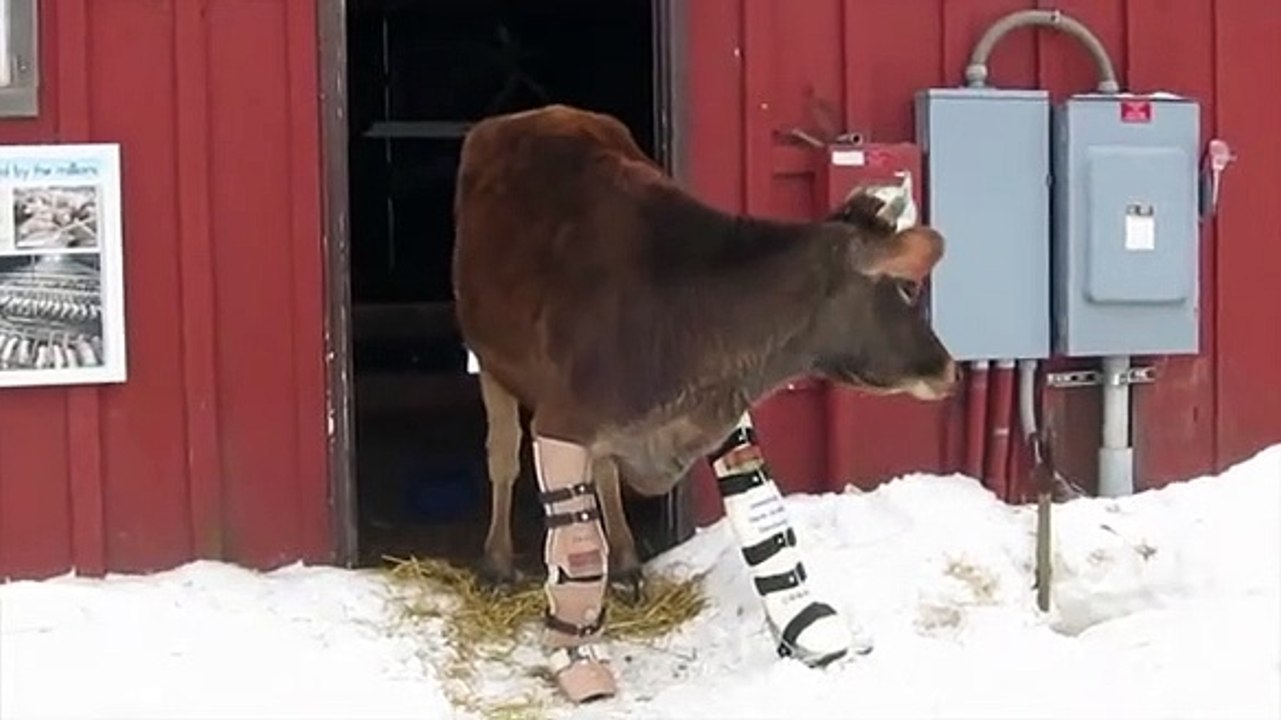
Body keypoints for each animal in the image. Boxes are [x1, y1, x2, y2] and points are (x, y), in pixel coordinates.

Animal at [452, 104, 956, 704]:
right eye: (905, 288)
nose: (949, 368)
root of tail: (540, 112)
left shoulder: (718, 411)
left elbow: (763, 515)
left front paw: (804, 622)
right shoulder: (561, 419)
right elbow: (577, 544)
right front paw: (576, 654)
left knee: (603, 473)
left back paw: (628, 561)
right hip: (491, 361)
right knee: (503, 457)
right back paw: (498, 561)